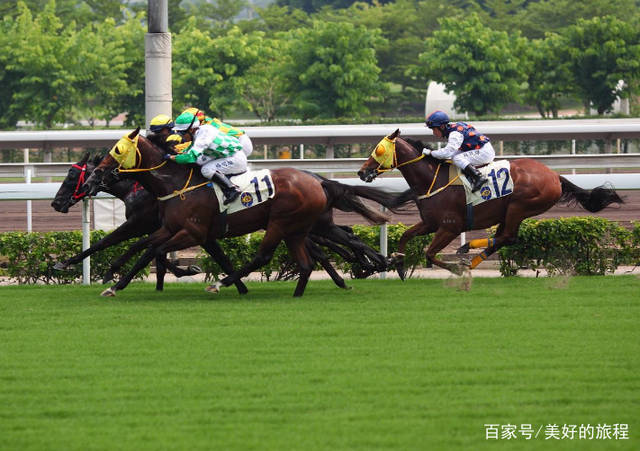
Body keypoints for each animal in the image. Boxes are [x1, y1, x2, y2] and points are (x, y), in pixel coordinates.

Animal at [82, 129, 398, 296]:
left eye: (117, 150)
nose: (93, 177)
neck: (176, 183)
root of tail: (317, 181)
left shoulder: (192, 232)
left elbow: (153, 250)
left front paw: (115, 281)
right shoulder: (169, 228)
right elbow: (143, 247)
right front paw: (114, 279)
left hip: (281, 223)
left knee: (265, 256)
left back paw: (220, 284)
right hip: (302, 227)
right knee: (320, 254)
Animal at [358, 131, 624, 278]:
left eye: (378, 149)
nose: (362, 172)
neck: (433, 179)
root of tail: (554, 176)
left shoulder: (450, 227)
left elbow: (430, 253)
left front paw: (456, 269)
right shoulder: (430, 223)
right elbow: (405, 236)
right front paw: (400, 264)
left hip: (519, 206)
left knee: (507, 236)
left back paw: (467, 253)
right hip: (510, 211)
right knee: (503, 237)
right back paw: (470, 256)